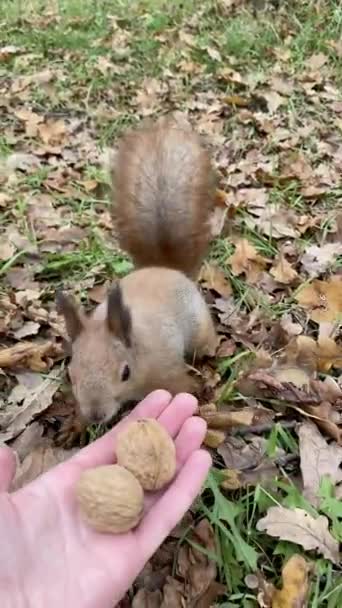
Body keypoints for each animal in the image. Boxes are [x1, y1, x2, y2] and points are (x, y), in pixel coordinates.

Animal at [55, 114, 216, 428]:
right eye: (71, 374)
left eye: (125, 372)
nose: (95, 415)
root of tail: (164, 268)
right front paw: (75, 426)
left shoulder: (166, 371)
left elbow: (181, 387)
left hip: (199, 327)